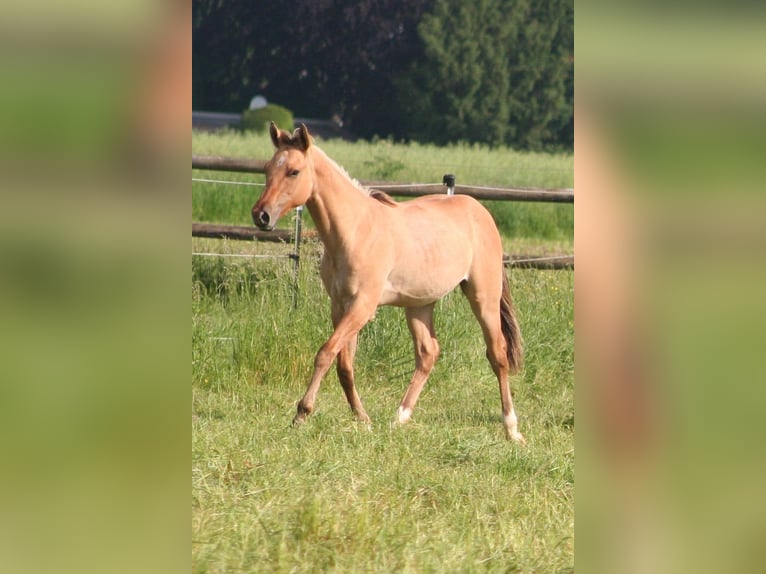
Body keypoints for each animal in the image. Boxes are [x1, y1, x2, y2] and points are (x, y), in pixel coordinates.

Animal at [252, 122, 528, 446]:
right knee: (428, 352)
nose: (261, 215)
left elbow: (325, 354)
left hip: (483, 297)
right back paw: (400, 418)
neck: (354, 231)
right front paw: (363, 419)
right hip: (419, 304)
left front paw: (301, 414)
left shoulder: (362, 306)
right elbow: (345, 365)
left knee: (497, 353)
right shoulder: (340, 306)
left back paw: (512, 428)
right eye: (268, 168)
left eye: (294, 171)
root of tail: (480, 212)